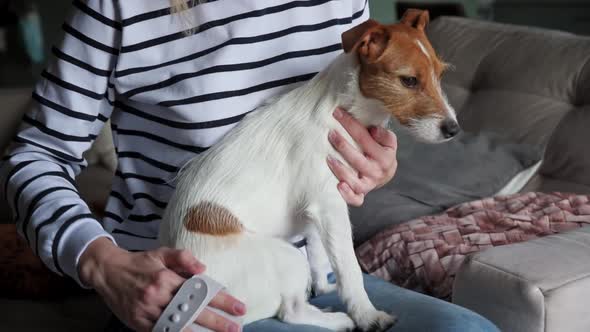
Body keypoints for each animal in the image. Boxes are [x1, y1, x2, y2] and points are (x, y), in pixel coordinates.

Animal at [160, 9, 460, 330]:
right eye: (409, 81)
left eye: (440, 74)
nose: (454, 130)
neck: (343, 108)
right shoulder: (329, 205)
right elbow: (349, 268)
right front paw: (366, 314)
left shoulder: (316, 210)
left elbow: (319, 253)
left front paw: (325, 286)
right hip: (288, 257)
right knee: (290, 311)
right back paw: (339, 319)